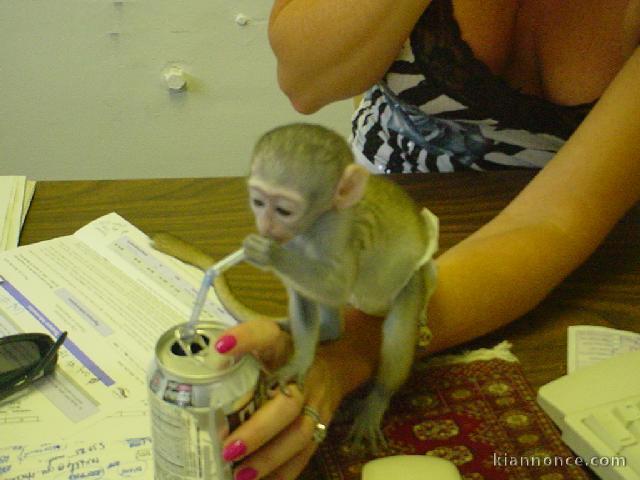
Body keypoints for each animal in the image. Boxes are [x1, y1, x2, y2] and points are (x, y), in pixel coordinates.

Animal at [242, 123, 438, 450]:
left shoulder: (333, 230)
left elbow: (337, 286)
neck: (311, 226)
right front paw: (300, 362)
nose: (266, 228)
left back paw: (377, 399)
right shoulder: (294, 238)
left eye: (283, 210)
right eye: (258, 203)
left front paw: (269, 254)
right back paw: (329, 331)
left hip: (414, 281)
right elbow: (305, 296)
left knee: (398, 328)